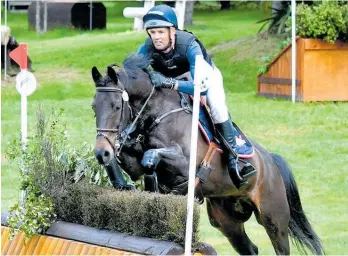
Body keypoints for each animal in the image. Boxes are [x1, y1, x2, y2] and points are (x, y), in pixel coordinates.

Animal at [90, 54, 324, 254]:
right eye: (94, 107)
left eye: (117, 106)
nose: (101, 152)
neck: (158, 112)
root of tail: (271, 162)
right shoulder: (133, 160)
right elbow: (128, 160)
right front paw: (123, 182)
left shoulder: (184, 163)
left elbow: (151, 156)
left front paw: (157, 183)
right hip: (226, 220)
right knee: (250, 249)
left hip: (273, 218)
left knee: (280, 246)